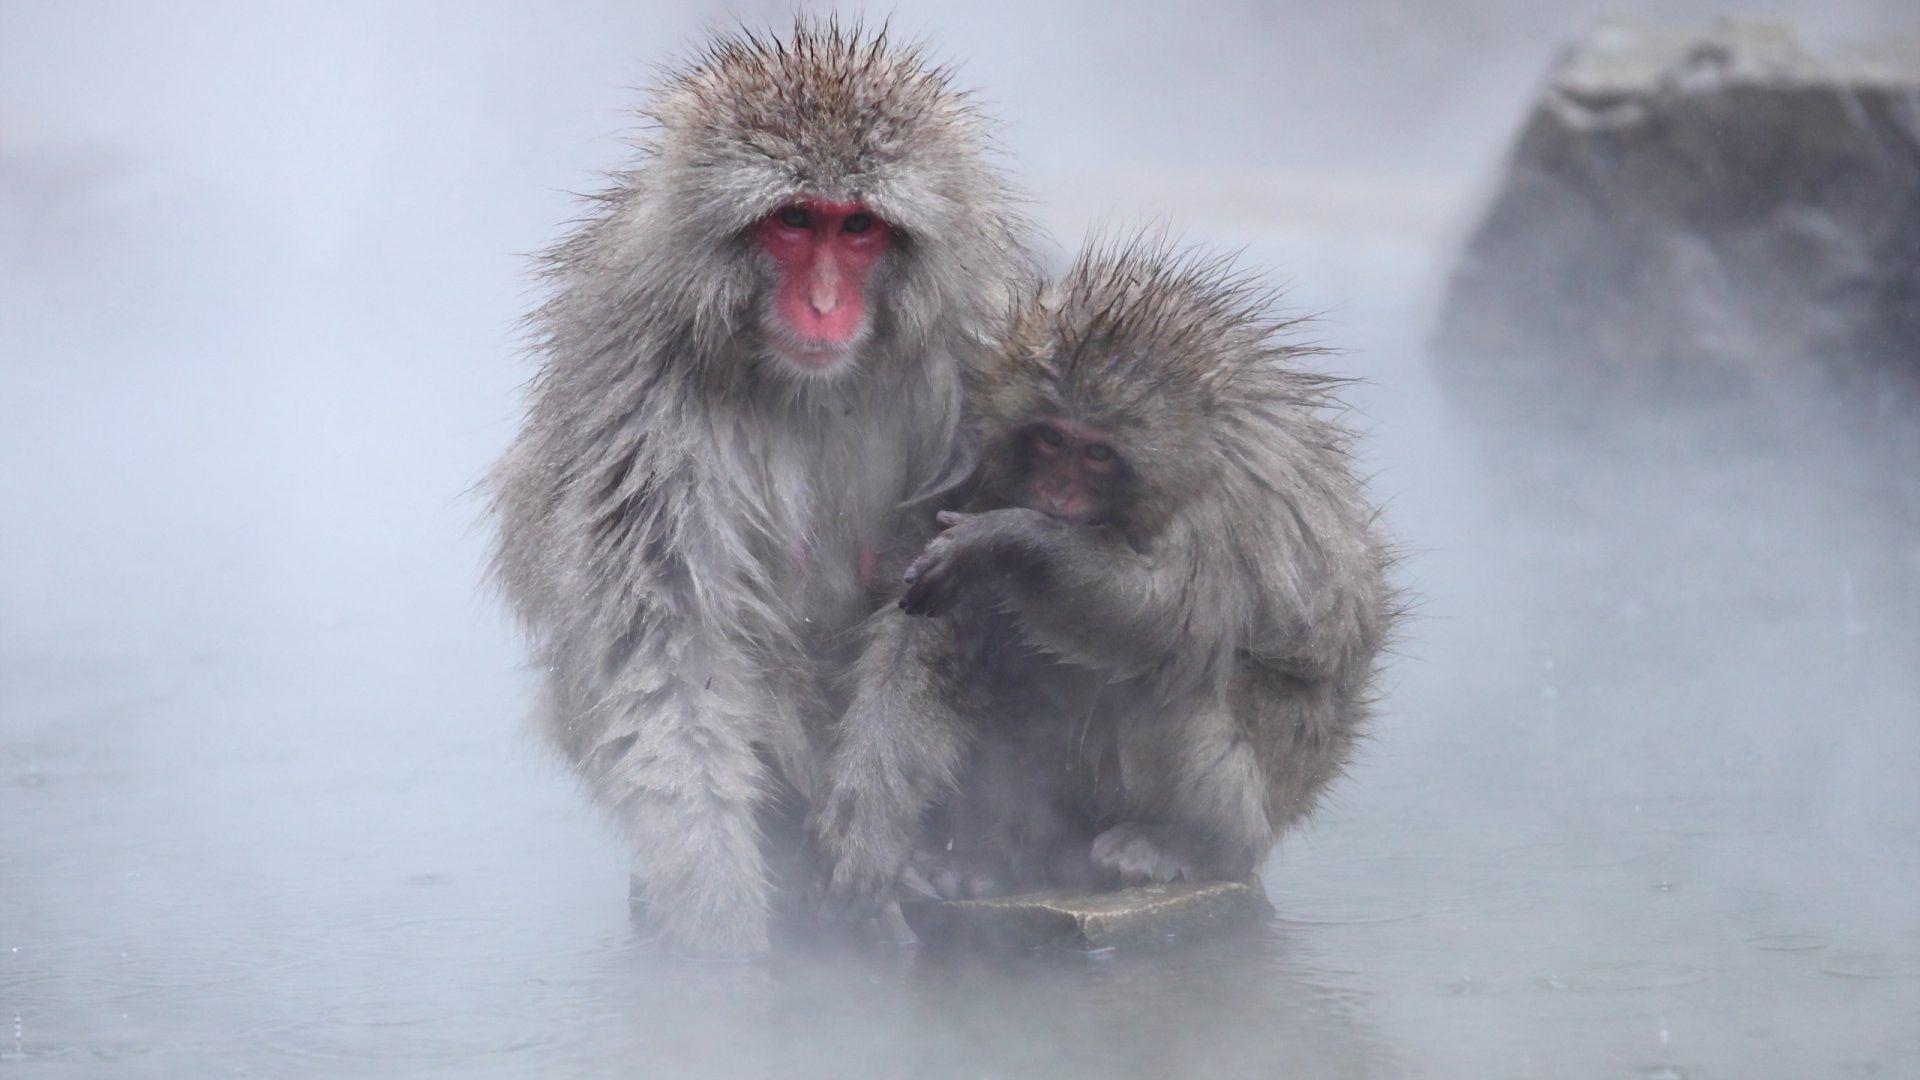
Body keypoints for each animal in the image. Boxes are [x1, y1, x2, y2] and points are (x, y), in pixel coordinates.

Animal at [486, 21, 1035, 956]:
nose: (822, 304)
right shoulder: (640, 394)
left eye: (858, 227)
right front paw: (718, 921)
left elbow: (958, 578)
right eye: (793, 221)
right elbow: (666, 649)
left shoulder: (981, 364)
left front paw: (871, 810)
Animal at [811, 235, 1397, 908]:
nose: (1057, 493)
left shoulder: (1224, 500)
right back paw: (994, 855)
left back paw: (1191, 846)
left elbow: (1167, 617)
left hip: (1261, 793)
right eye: (1049, 440)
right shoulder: (975, 456)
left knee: (1166, 673)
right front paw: (867, 819)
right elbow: (930, 627)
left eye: (1096, 453)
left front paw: (1011, 541)